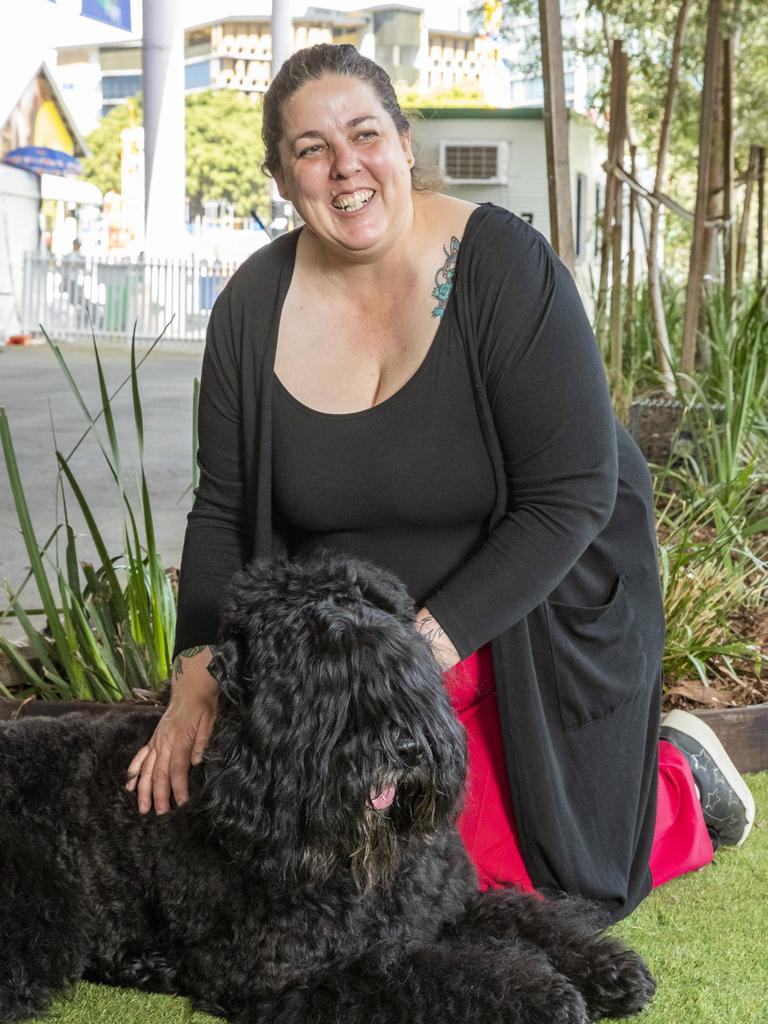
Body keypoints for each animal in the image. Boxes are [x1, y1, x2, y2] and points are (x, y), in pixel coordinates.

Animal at [1, 557, 655, 1019]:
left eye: (402, 663)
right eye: (320, 684)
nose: (407, 748)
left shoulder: (449, 902)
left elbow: (526, 916)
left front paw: (606, 968)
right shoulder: (295, 974)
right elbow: (428, 975)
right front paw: (542, 994)